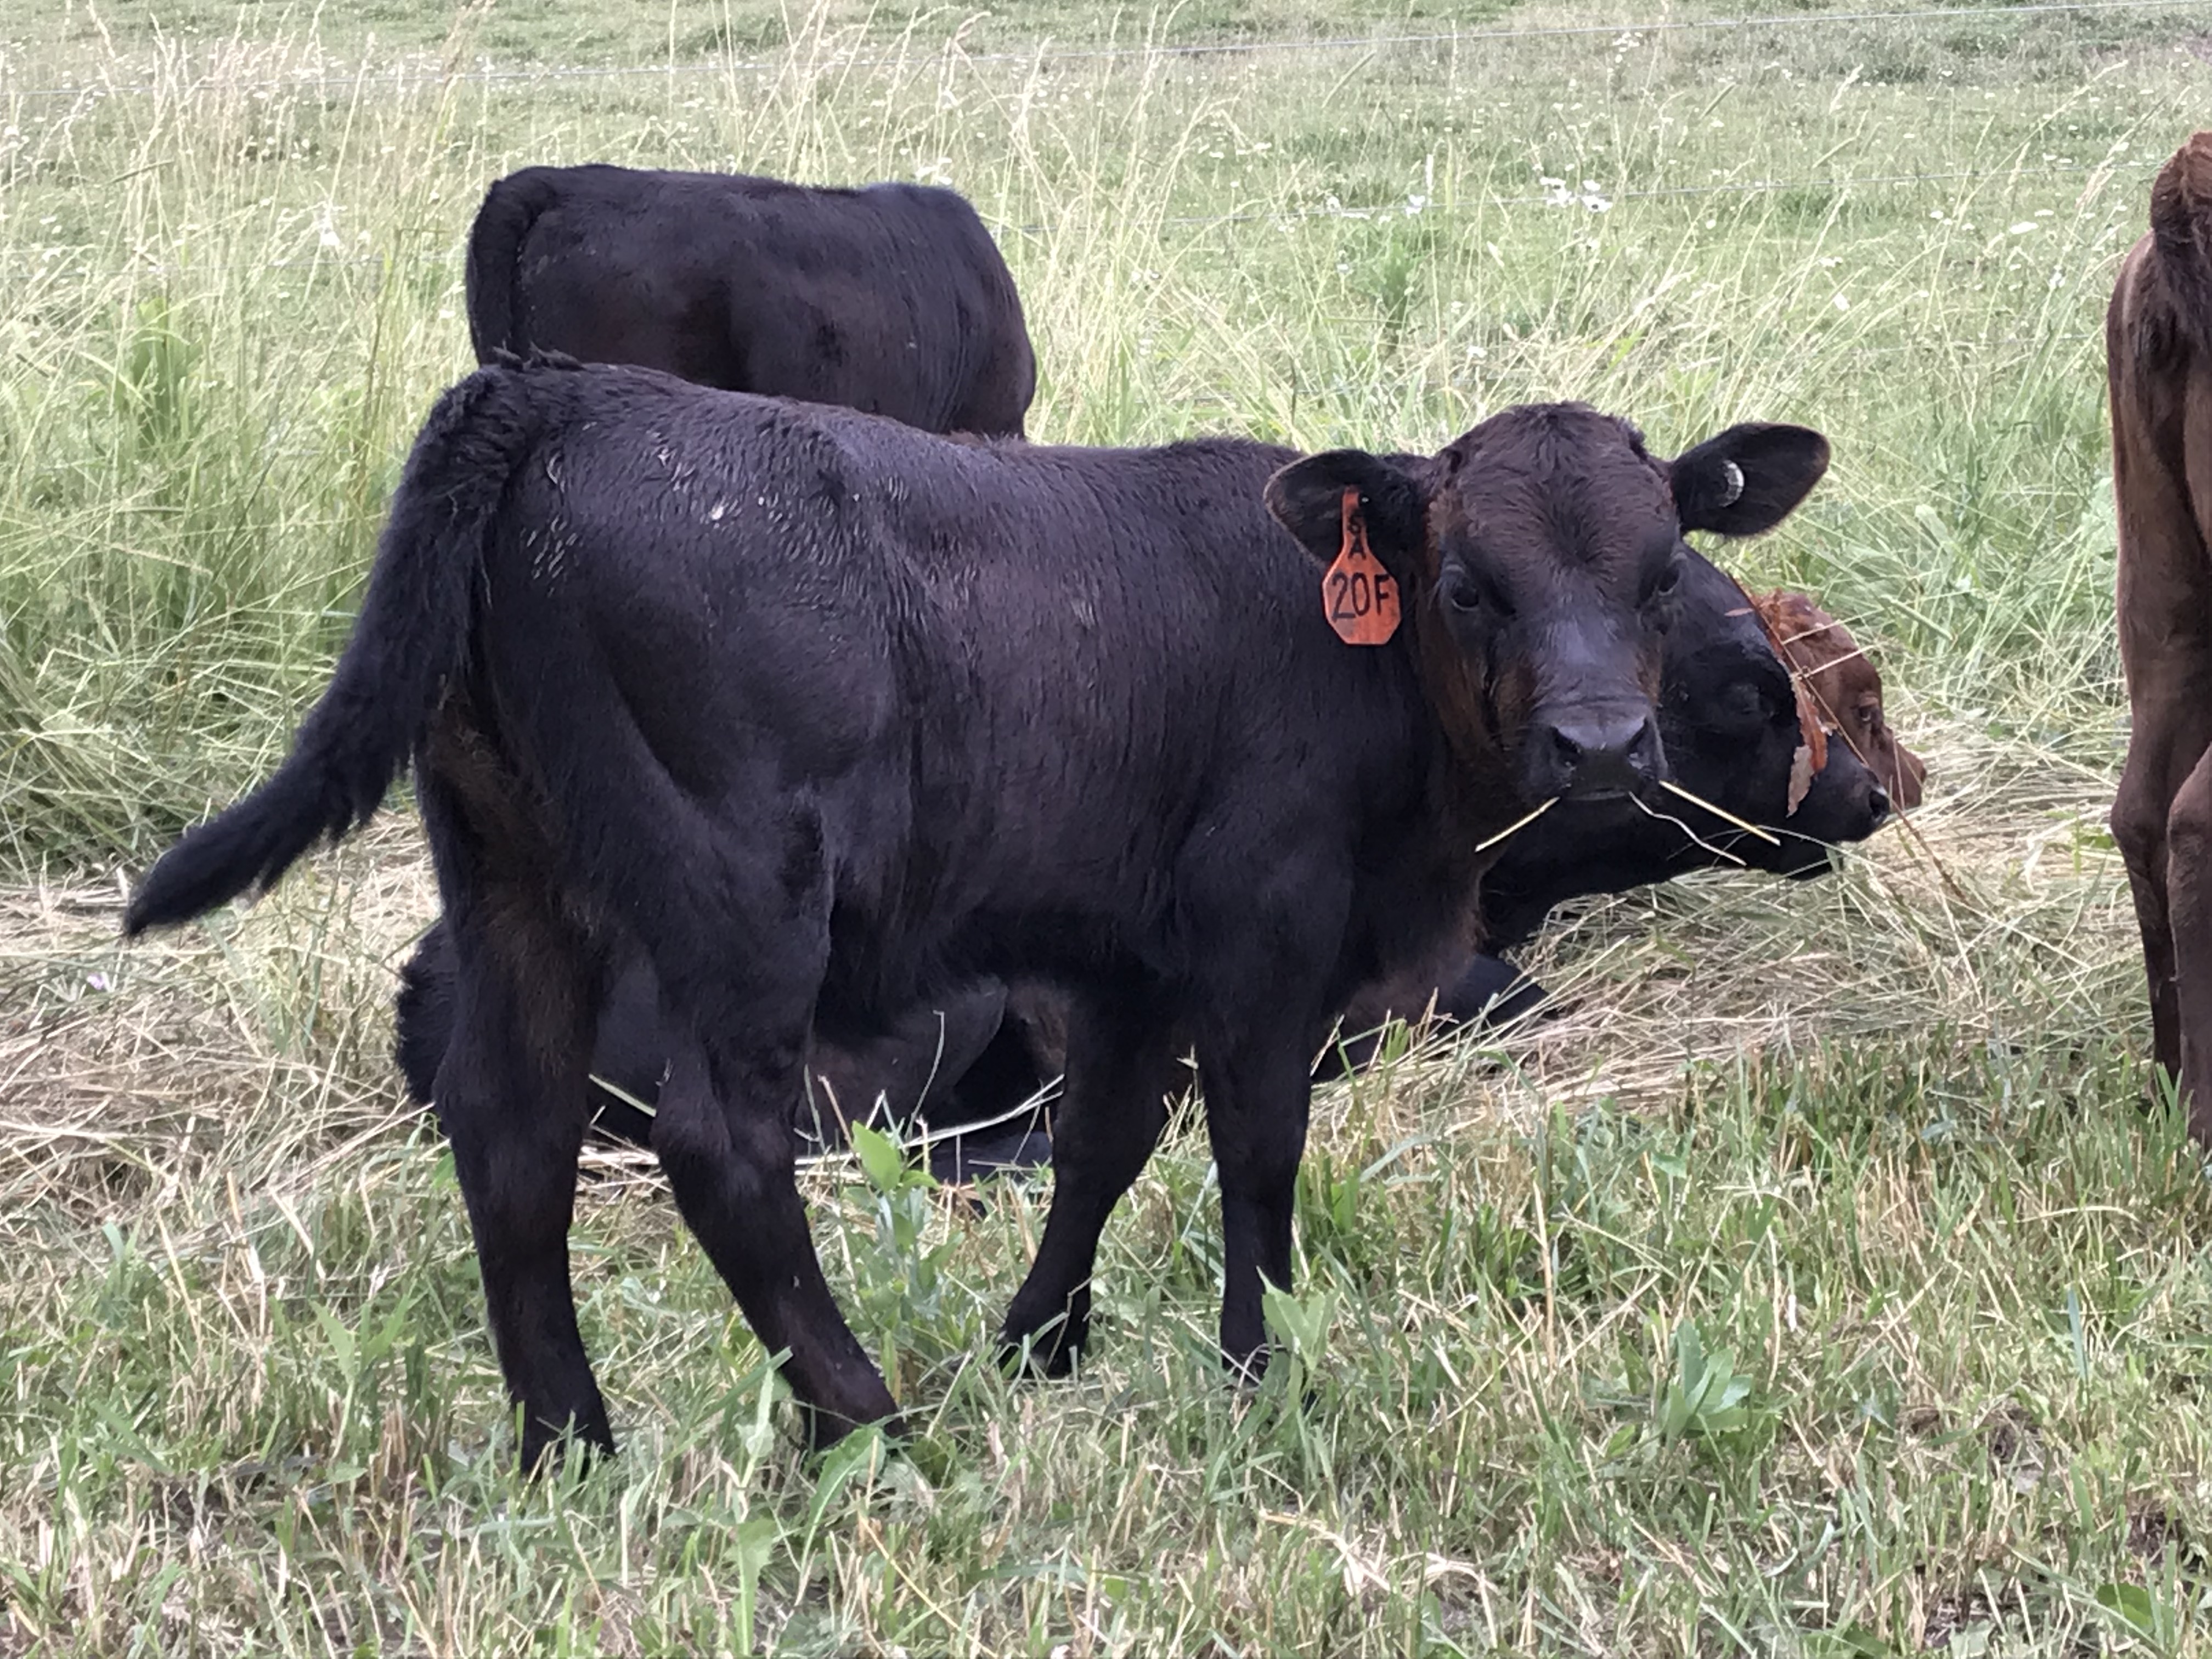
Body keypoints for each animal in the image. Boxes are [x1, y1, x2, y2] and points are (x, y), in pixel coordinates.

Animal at [124, 357, 1831, 1466]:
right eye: (1471, 581)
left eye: (1661, 571)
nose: (1602, 742)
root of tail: (564, 393)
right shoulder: (1263, 936)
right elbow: (1254, 1149)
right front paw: (1260, 1371)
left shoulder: (1129, 957)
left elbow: (1106, 1143)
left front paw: (1042, 1345)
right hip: (740, 897)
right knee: (720, 1150)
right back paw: (870, 1426)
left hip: (508, 870)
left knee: (511, 1133)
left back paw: (571, 1448)